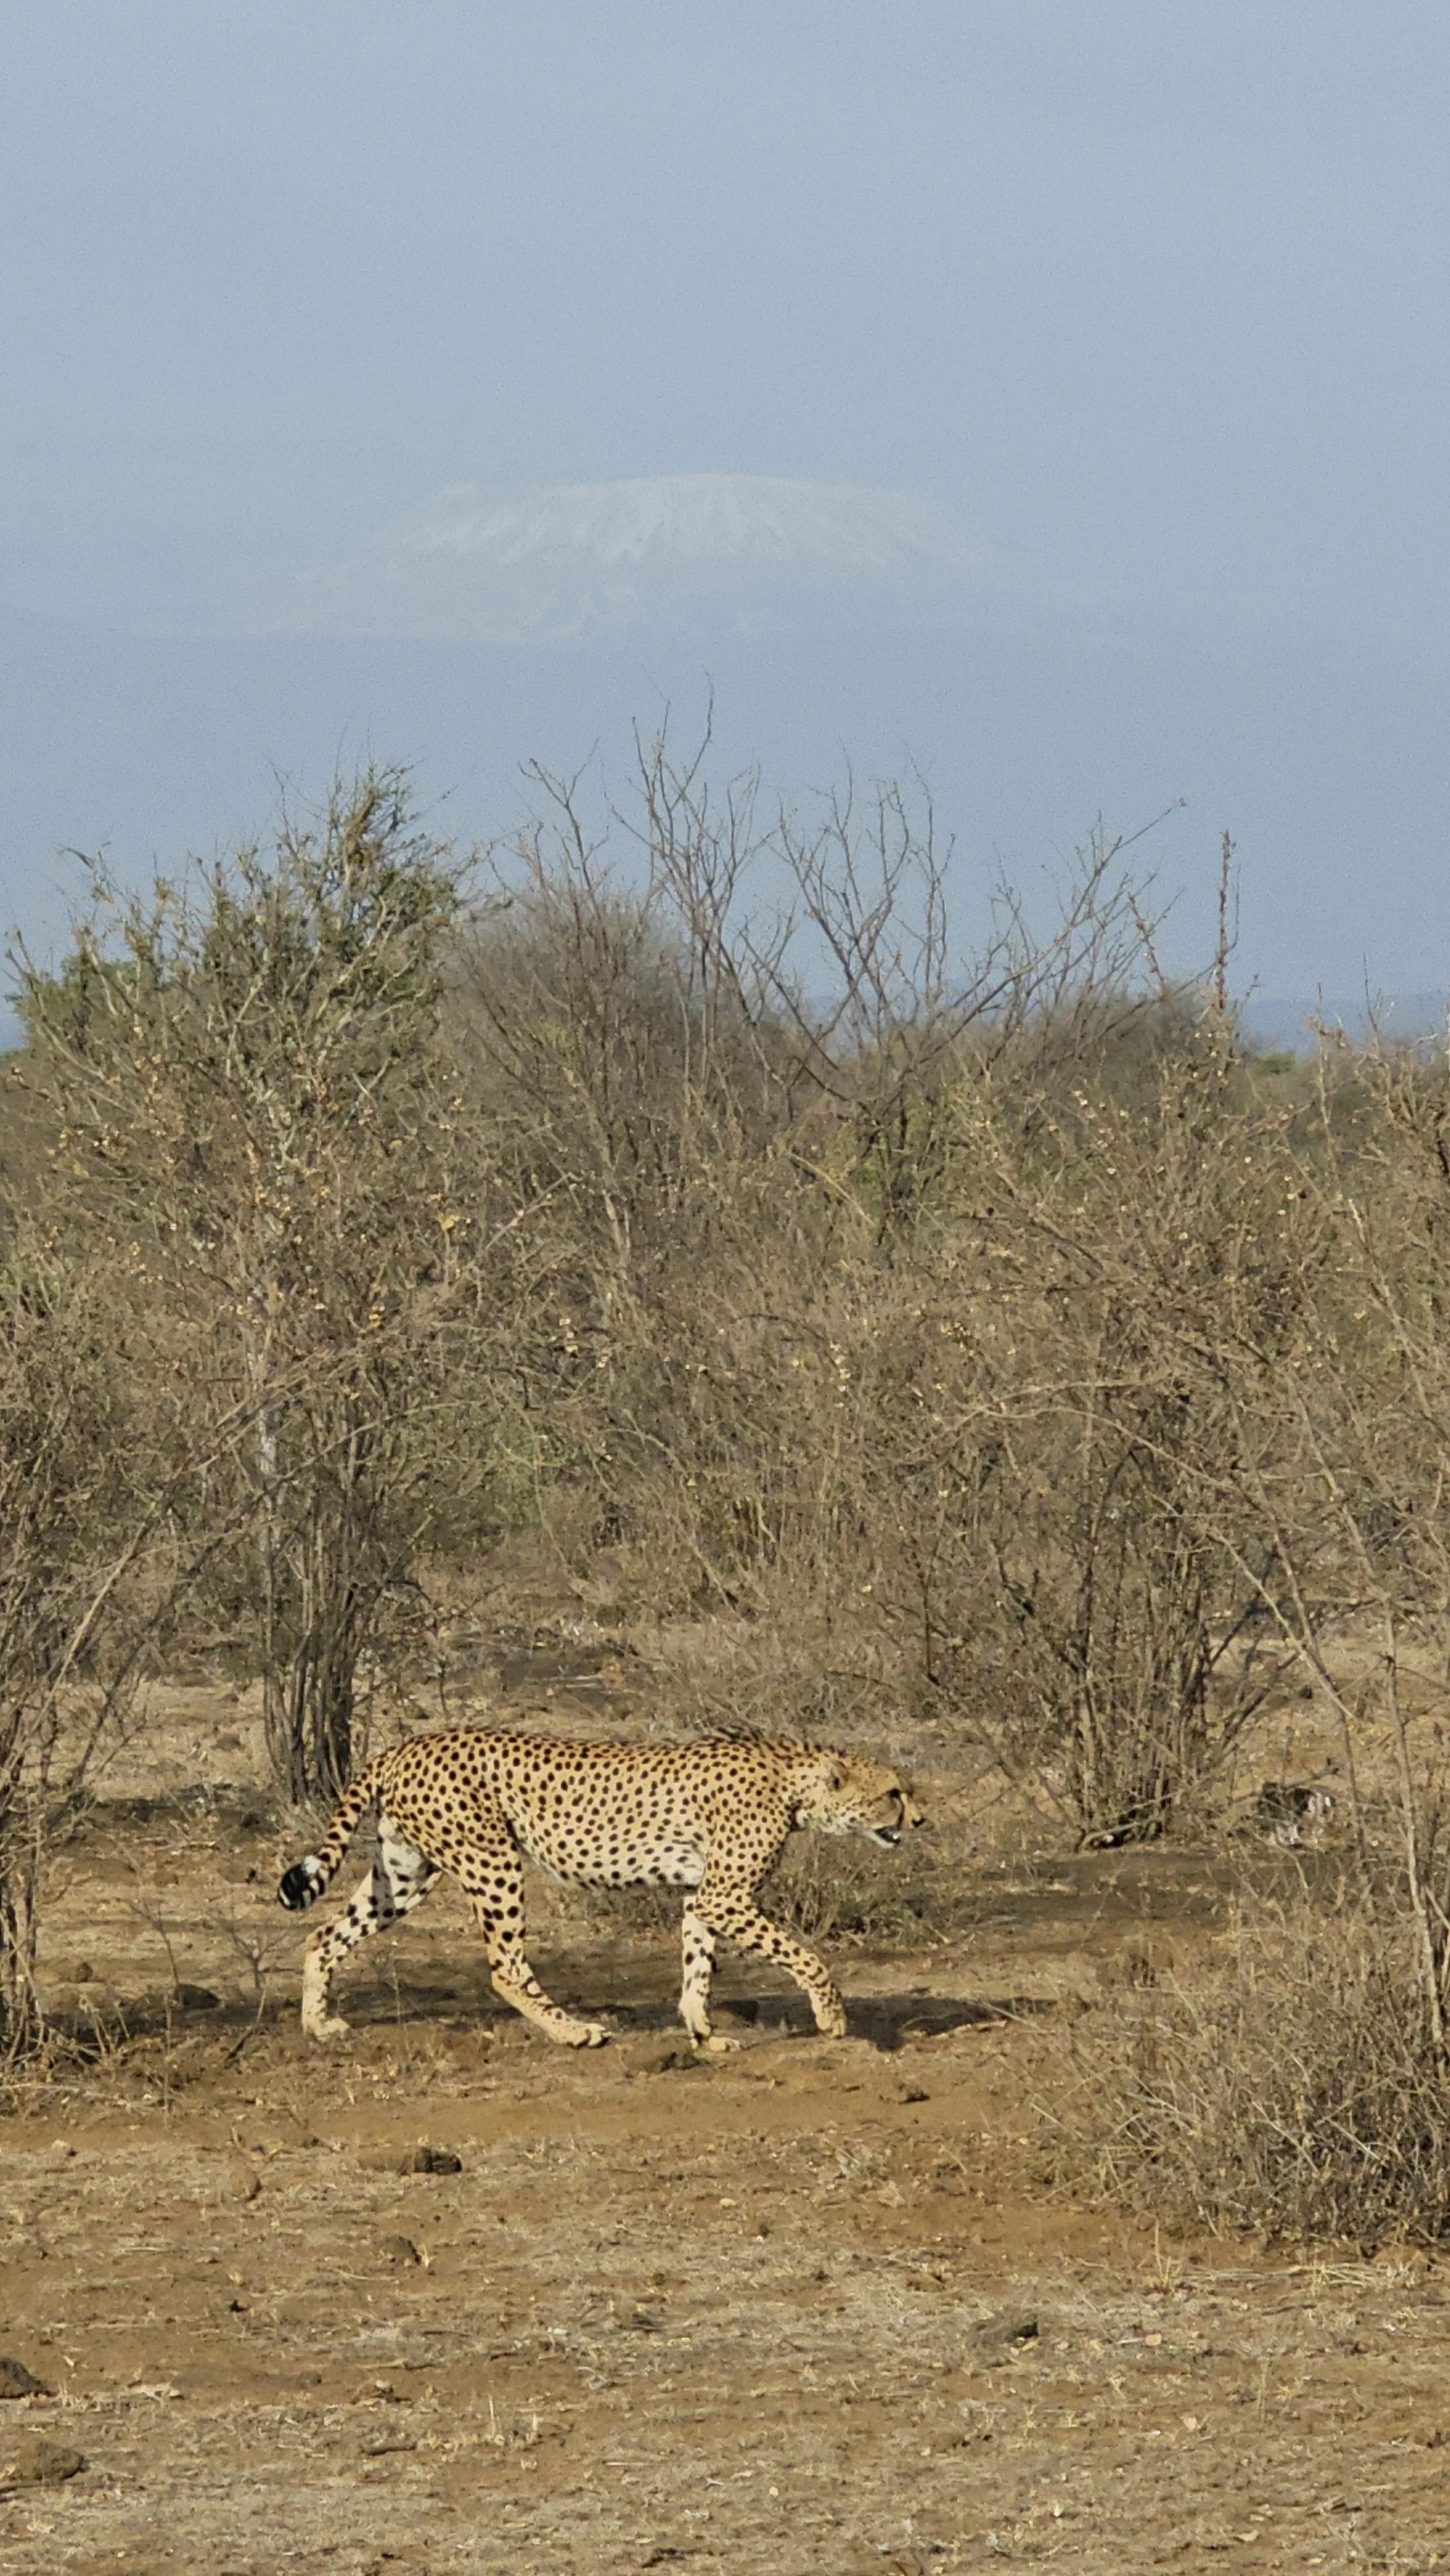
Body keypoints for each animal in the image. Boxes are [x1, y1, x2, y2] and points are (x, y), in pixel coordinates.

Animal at [278, 1726, 923, 2051]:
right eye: (893, 1792)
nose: (920, 1819)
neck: (794, 1782)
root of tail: (406, 1744)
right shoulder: (726, 1896)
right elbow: (807, 1958)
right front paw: (832, 2018)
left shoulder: (704, 1895)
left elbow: (698, 1965)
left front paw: (702, 2032)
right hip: (492, 1860)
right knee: (506, 1967)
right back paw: (574, 2031)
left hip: (407, 1872)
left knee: (323, 1934)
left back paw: (318, 2025)